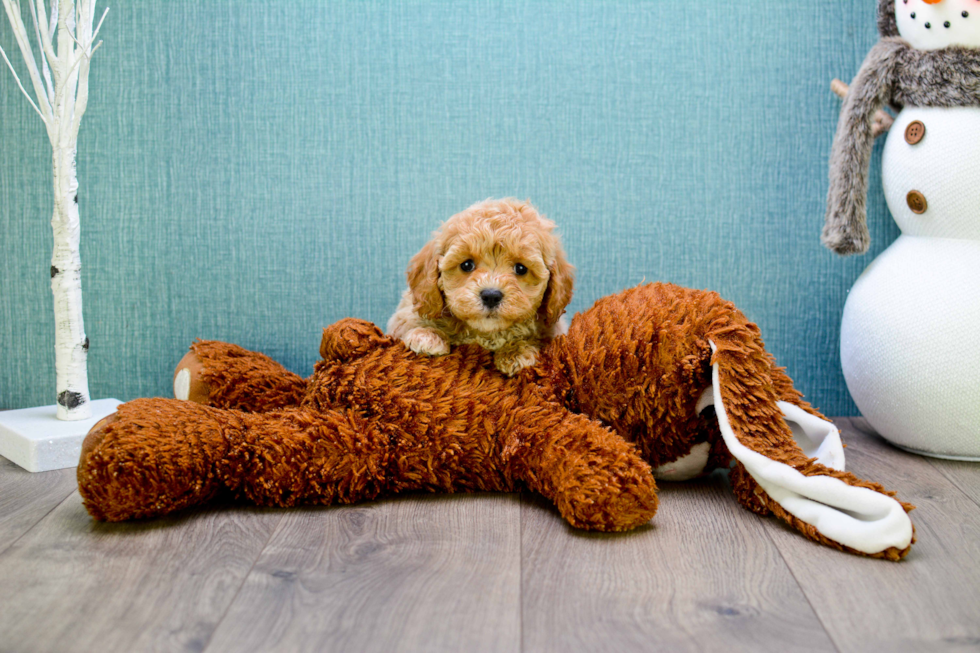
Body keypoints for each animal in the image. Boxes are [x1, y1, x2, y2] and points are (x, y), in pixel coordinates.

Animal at [386, 196, 576, 374]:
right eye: (466, 265)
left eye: (521, 268)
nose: (491, 296)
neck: (485, 333)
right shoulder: (404, 315)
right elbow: (410, 323)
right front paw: (427, 335)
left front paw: (517, 351)